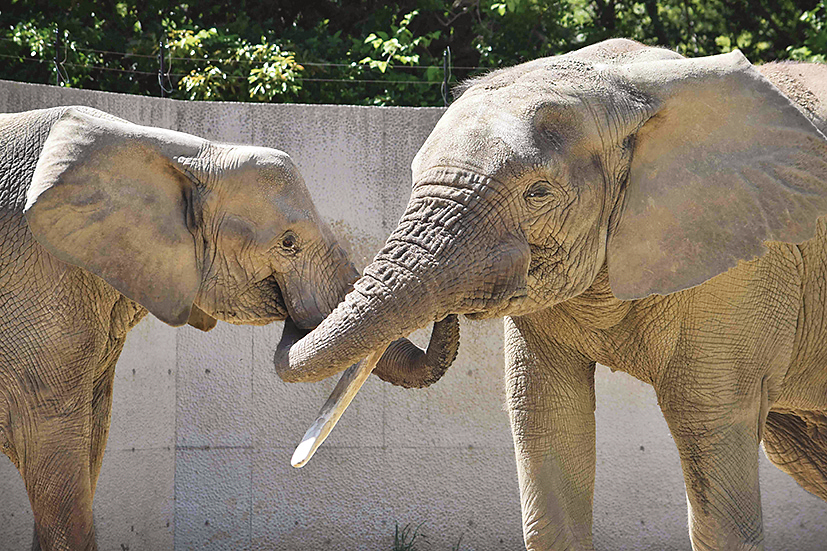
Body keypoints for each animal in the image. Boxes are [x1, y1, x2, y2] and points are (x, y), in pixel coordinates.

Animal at [275, 39, 827, 550]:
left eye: (537, 194)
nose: (446, 315)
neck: (627, 87)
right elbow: (547, 416)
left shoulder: (744, 264)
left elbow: (709, 424)